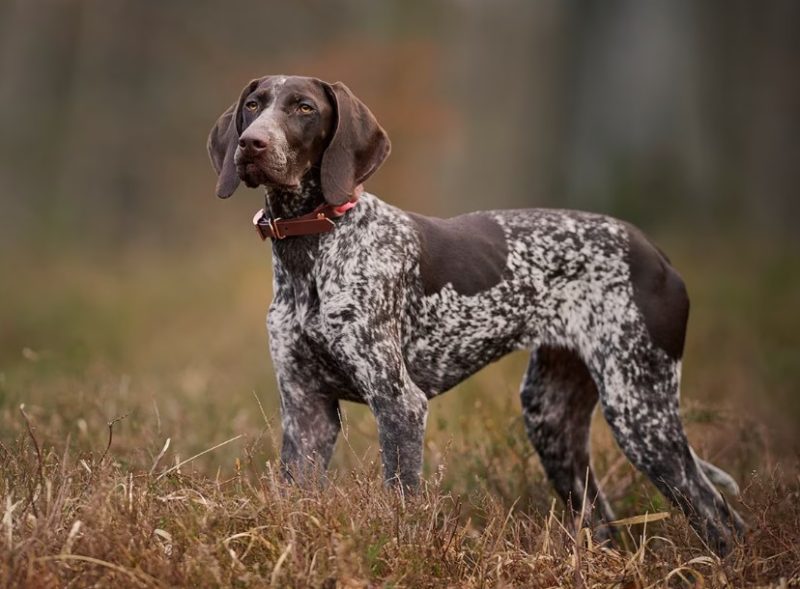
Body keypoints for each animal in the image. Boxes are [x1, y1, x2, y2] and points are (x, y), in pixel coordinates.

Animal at [209, 73, 748, 552]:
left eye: (304, 108)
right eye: (254, 105)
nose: (252, 144)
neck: (312, 251)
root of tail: (655, 253)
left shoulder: (399, 403)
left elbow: (400, 502)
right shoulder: (306, 411)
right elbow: (295, 497)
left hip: (640, 410)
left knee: (720, 517)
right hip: (552, 418)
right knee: (604, 521)